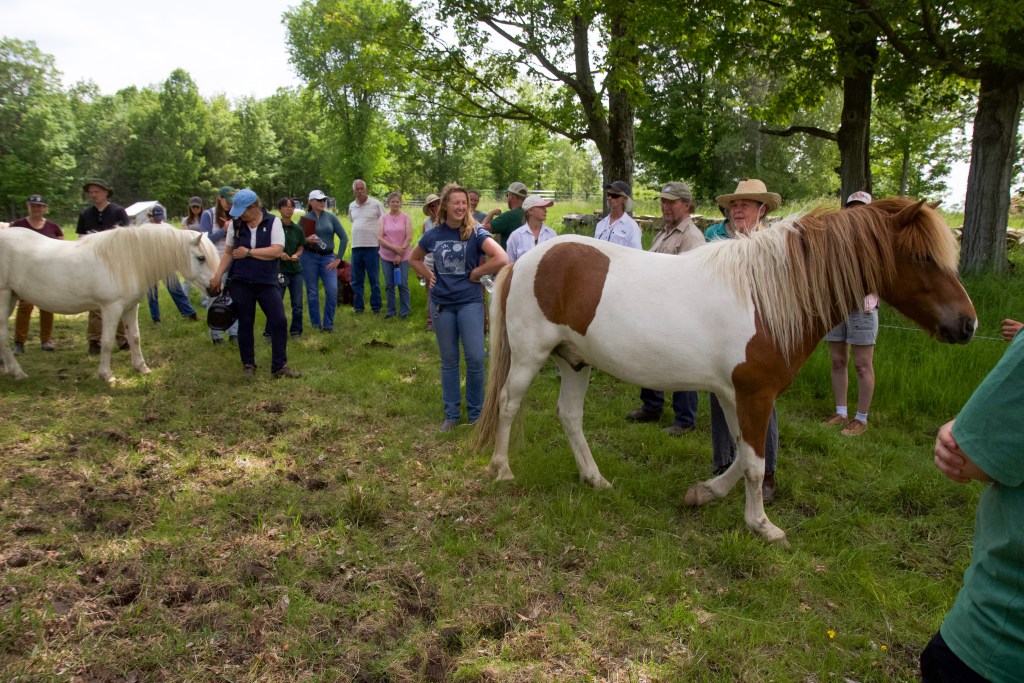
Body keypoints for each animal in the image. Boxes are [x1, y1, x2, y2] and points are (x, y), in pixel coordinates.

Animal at [0, 225, 219, 381]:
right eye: (201, 258)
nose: (216, 289)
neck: (128, 260)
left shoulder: (130, 307)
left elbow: (134, 337)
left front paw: (142, 368)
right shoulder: (111, 309)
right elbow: (106, 342)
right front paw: (106, 375)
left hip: (11, 297)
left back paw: (8, 369)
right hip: (4, 297)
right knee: (3, 336)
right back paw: (18, 372)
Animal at [474, 198, 977, 546]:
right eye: (923, 258)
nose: (968, 325)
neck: (765, 296)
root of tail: (526, 259)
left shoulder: (737, 395)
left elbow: (741, 454)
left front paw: (704, 493)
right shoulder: (755, 394)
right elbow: (754, 462)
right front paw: (763, 526)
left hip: (575, 362)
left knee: (570, 417)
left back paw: (595, 479)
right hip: (530, 357)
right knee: (508, 404)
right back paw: (502, 469)